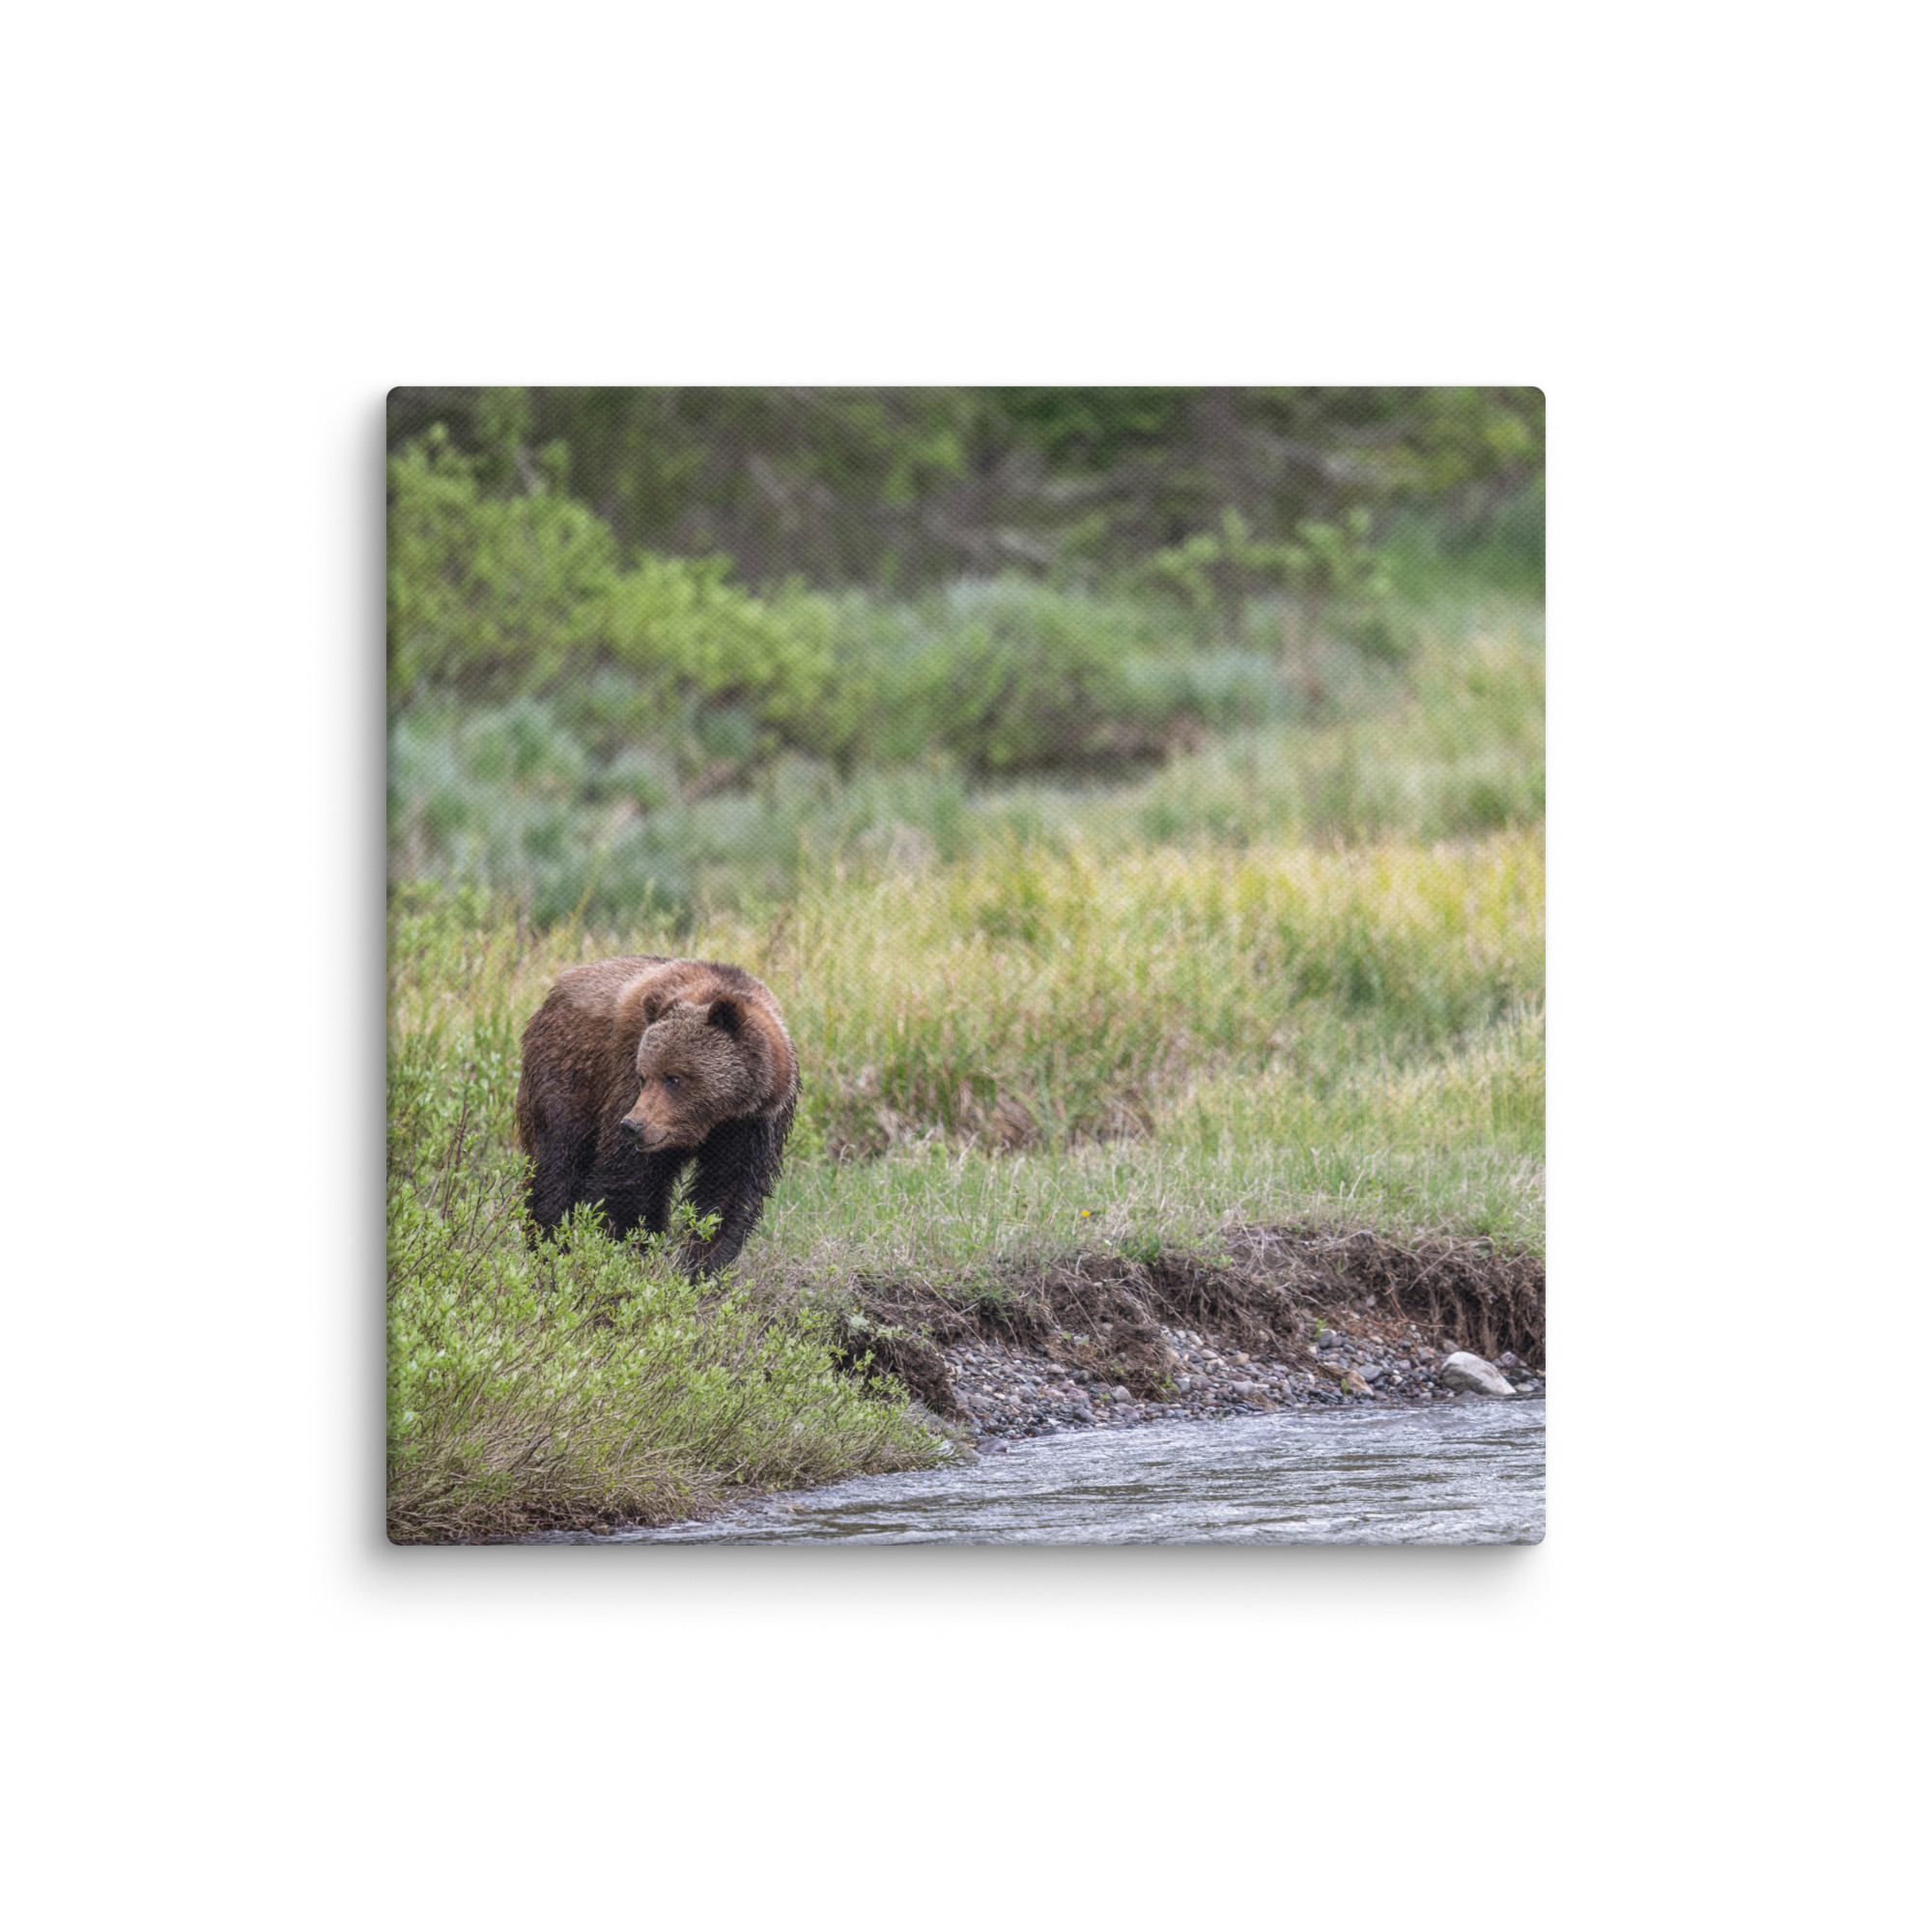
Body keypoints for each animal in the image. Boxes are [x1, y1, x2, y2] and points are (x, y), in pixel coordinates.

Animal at [513, 954, 799, 1275]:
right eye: (643, 1076)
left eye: (674, 1078)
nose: (633, 1126)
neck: (714, 1118)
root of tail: (557, 988)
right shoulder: (625, 1081)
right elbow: (629, 1182)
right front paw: (626, 1252)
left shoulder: (753, 1125)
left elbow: (727, 1194)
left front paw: (701, 1266)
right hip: (569, 1075)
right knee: (557, 1163)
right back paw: (549, 1247)